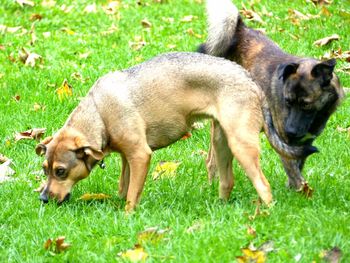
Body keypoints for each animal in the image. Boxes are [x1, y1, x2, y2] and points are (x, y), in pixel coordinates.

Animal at [198, 0, 344, 191]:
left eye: (306, 104)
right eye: (288, 102)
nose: (290, 131)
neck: (316, 117)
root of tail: (240, 29)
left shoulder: (303, 144)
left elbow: (298, 166)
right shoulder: (285, 143)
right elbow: (295, 172)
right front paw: (301, 192)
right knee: (212, 159)